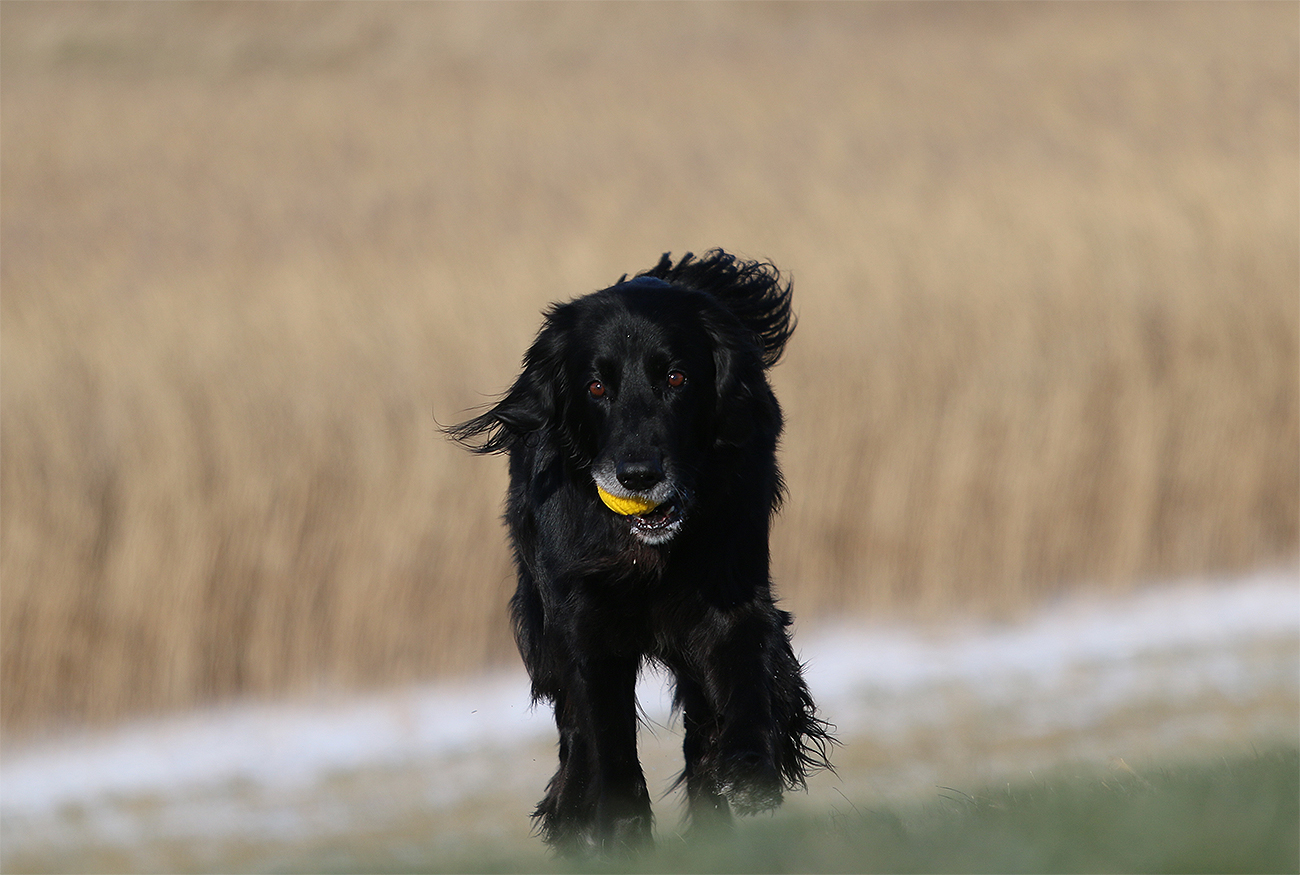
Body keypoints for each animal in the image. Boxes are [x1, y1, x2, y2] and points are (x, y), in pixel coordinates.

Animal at [446, 250, 833, 855]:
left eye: (676, 377)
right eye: (595, 387)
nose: (638, 475)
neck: (648, 552)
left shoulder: (730, 598)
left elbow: (746, 681)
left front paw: (749, 772)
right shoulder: (585, 627)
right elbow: (609, 745)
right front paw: (622, 833)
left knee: (701, 733)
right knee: (577, 739)